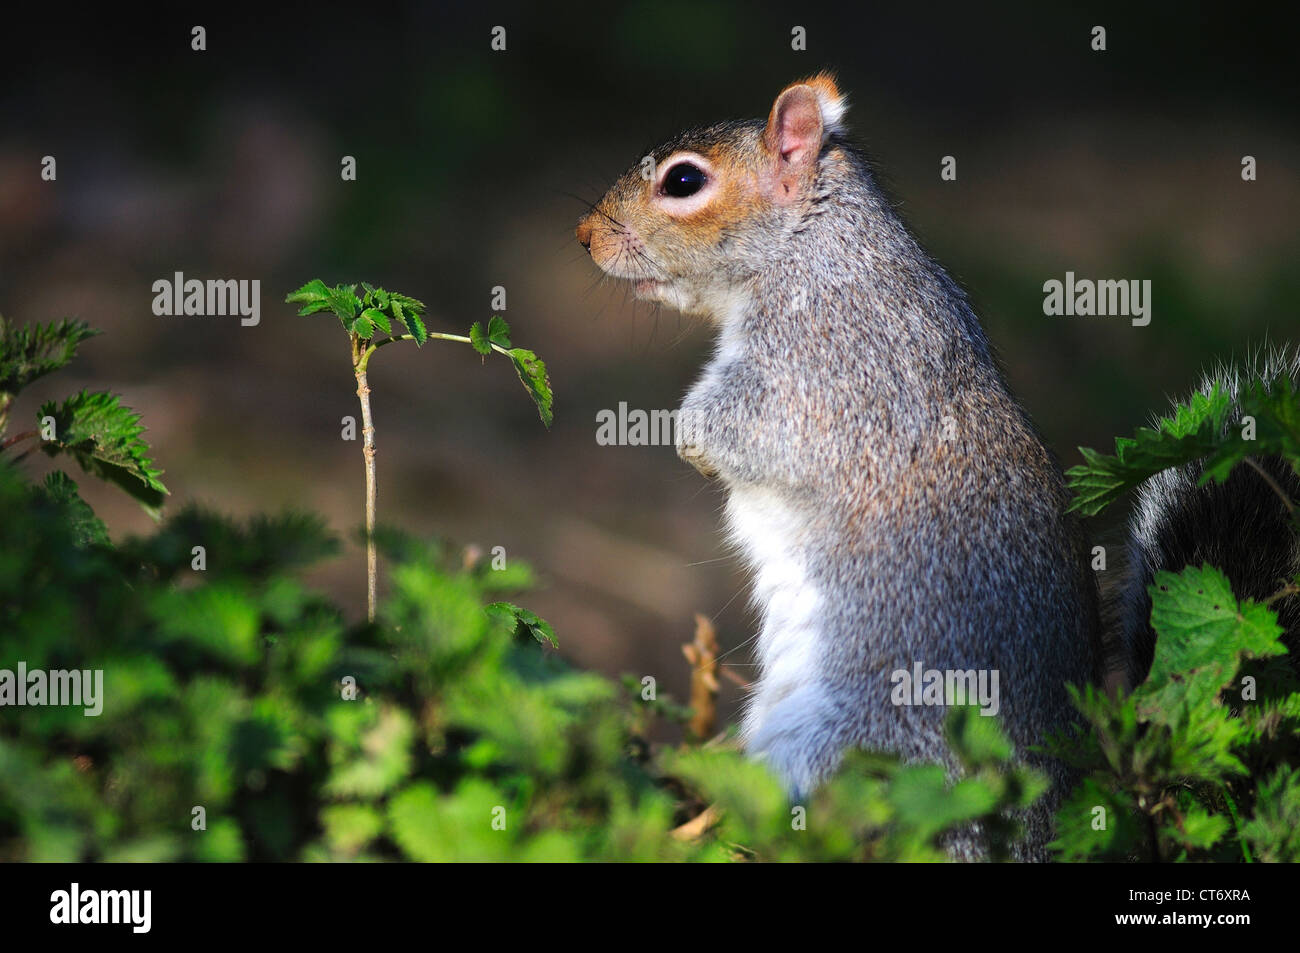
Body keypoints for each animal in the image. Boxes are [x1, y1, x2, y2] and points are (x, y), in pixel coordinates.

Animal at [574, 74, 1294, 858]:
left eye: (683, 181)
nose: (584, 235)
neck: (807, 246)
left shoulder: (830, 366)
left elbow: (756, 430)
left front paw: (691, 439)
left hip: (856, 743)